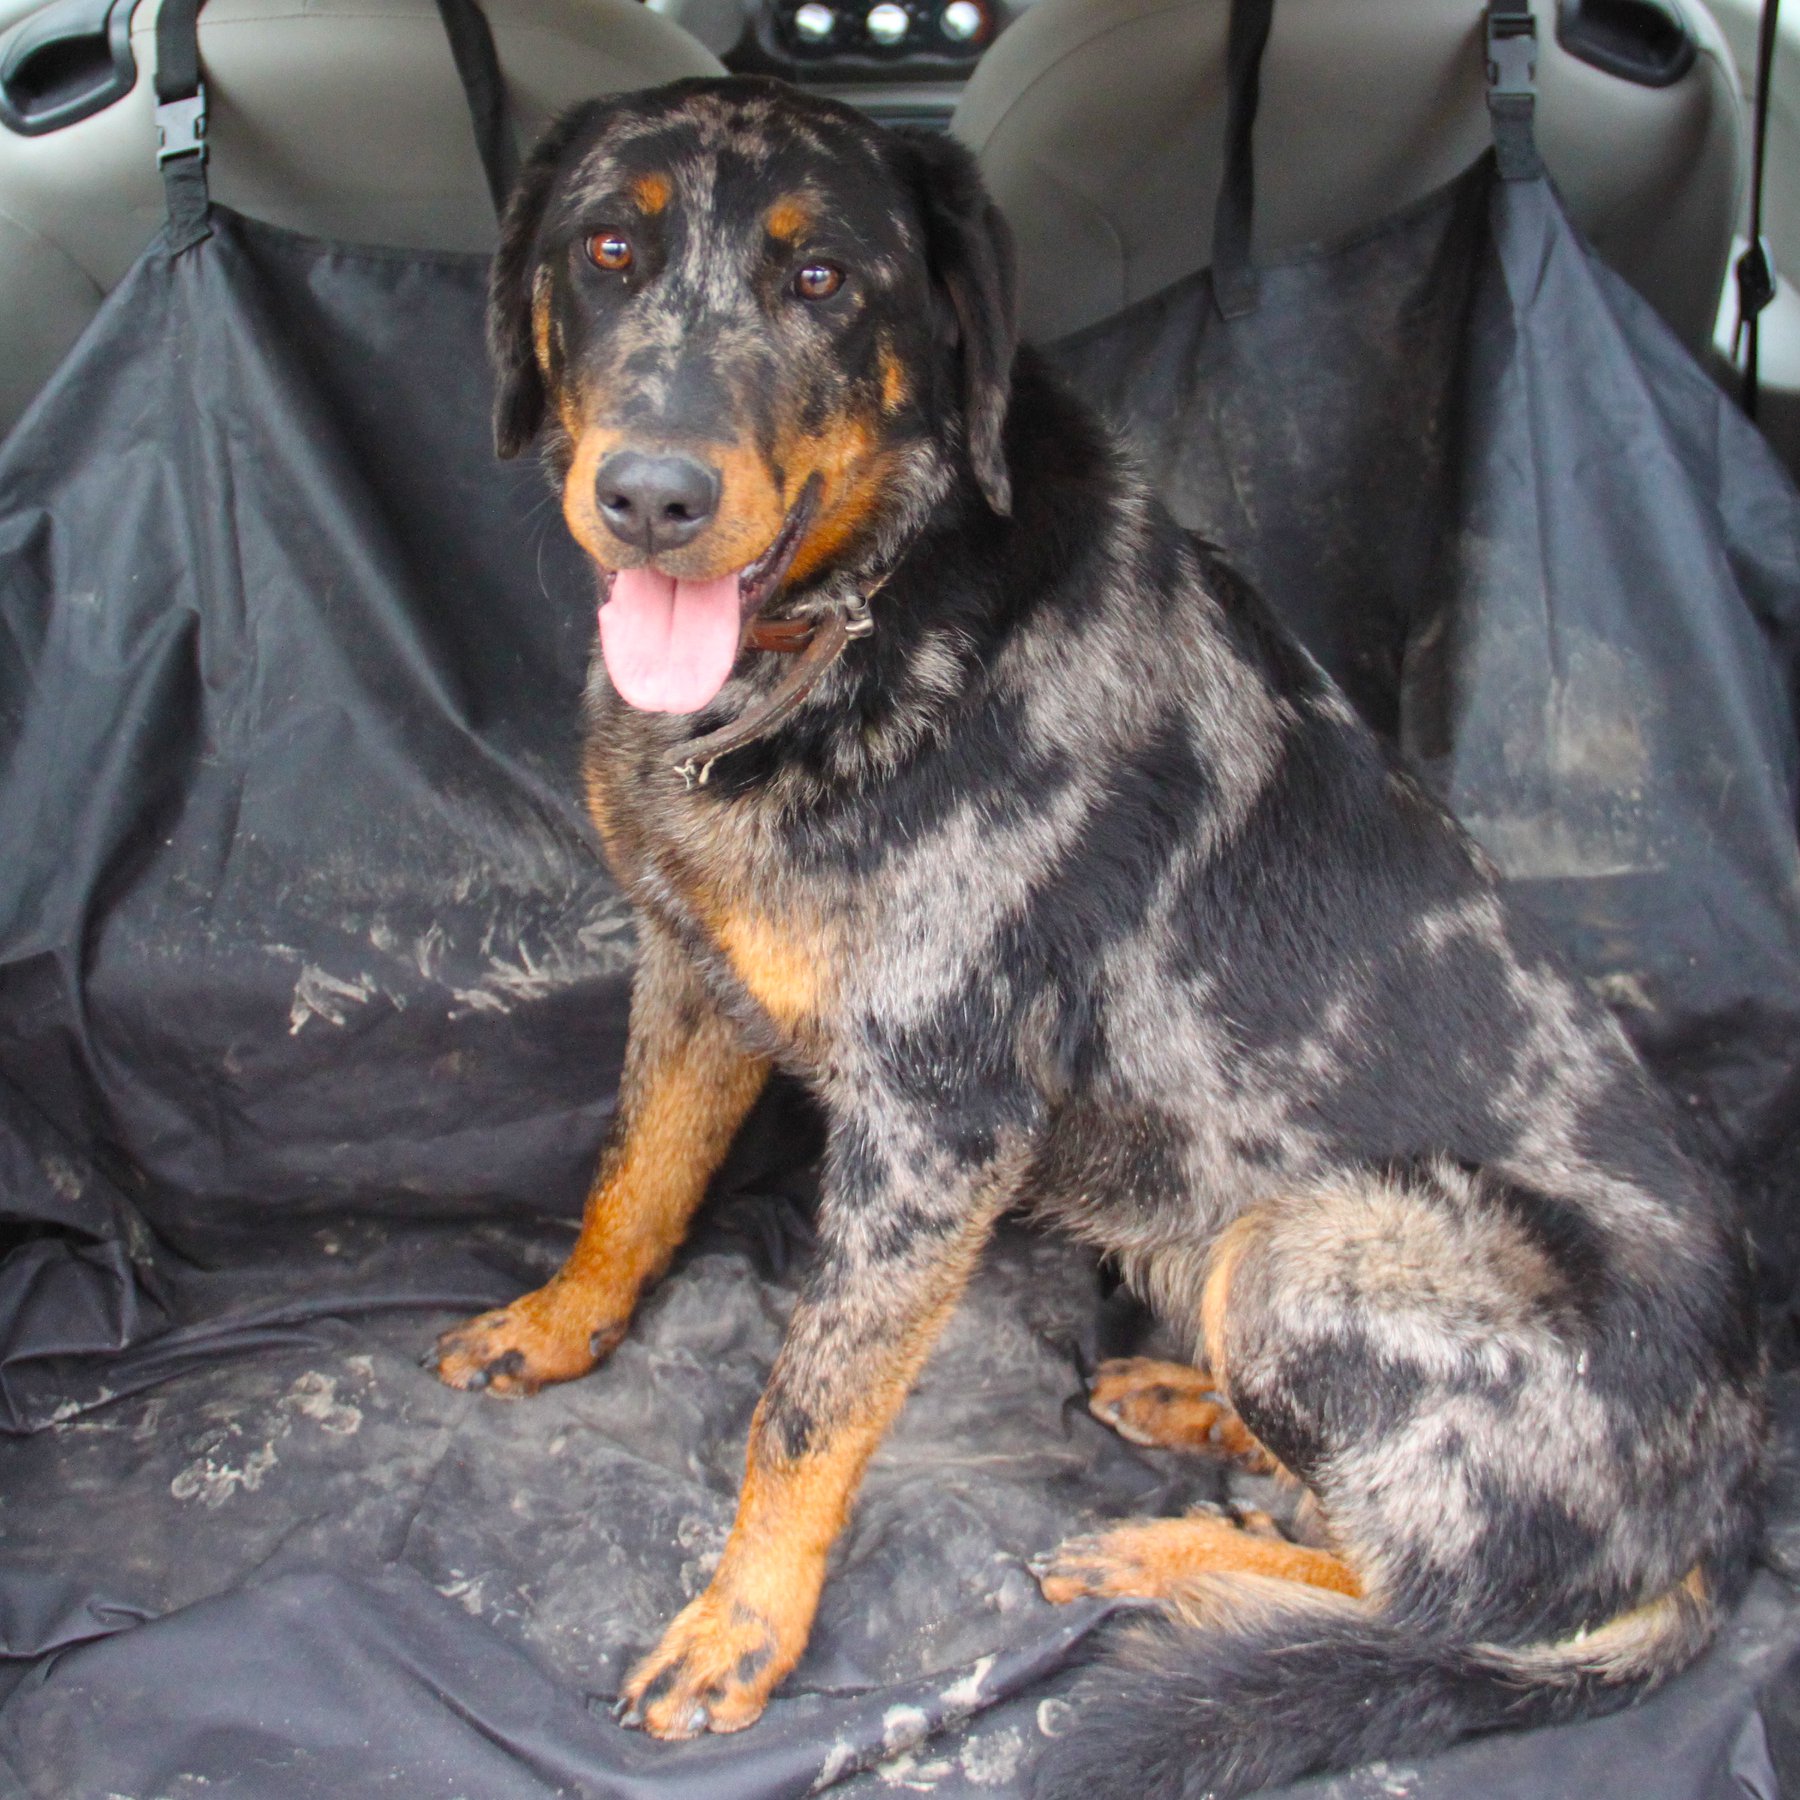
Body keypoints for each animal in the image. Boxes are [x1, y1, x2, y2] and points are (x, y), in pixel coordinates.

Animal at [428, 77, 1765, 1799]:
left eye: (822, 278)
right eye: (607, 248)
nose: (653, 497)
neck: (849, 642)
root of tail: (1731, 1518)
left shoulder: (937, 1121)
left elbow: (807, 1404)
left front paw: (742, 1630)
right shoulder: (692, 975)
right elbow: (633, 1185)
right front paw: (557, 1327)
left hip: (1306, 1248)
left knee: (1431, 1606)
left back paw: (1172, 1560)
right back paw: (1197, 1415)